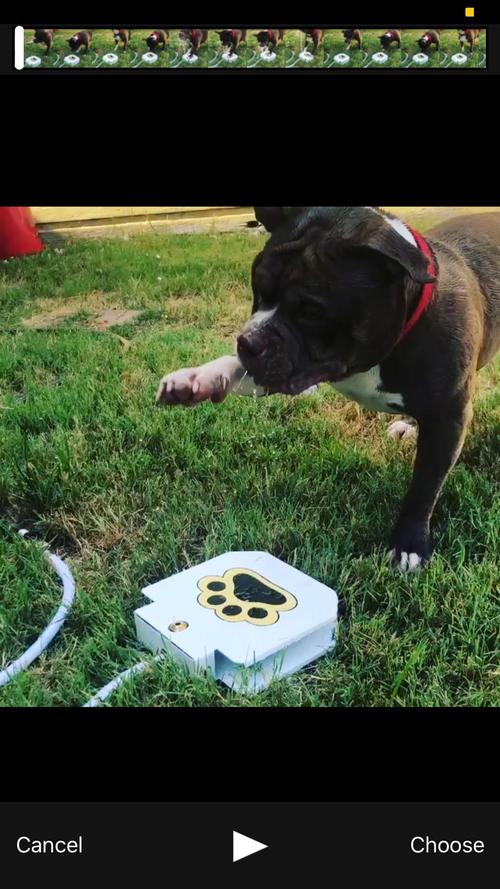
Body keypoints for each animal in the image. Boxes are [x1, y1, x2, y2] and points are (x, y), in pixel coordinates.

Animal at [158, 206, 500, 572]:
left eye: (312, 312)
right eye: (257, 285)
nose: (248, 341)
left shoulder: (448, 417)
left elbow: (425, 485)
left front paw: (409, 543)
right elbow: (239, 368)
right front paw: (197, 379)